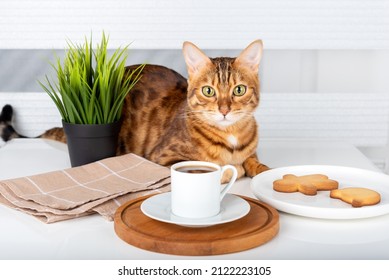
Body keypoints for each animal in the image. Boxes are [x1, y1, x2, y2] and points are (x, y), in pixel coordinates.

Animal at [0, 40, 268, 178]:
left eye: (239, 90)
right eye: (209, 91)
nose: (224, 109)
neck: (230, 137)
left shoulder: (252, 153)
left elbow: (255, 164)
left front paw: (263, 170)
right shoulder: (163, 158)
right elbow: (216, 168)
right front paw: (233, 168)